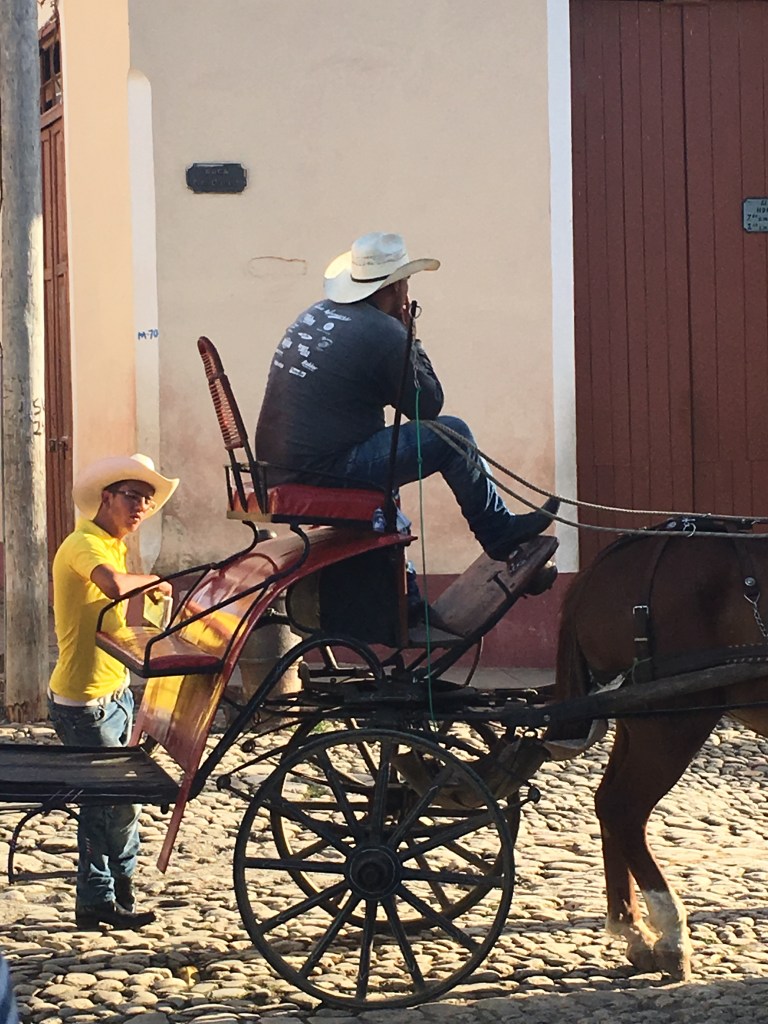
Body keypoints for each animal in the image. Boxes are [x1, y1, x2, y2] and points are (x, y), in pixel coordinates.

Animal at [544, 519, 768, 981]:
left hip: (638, 722)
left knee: (606, 803)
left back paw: (633, 930)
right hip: (672, 723)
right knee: (624, 807)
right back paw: (671, 934)